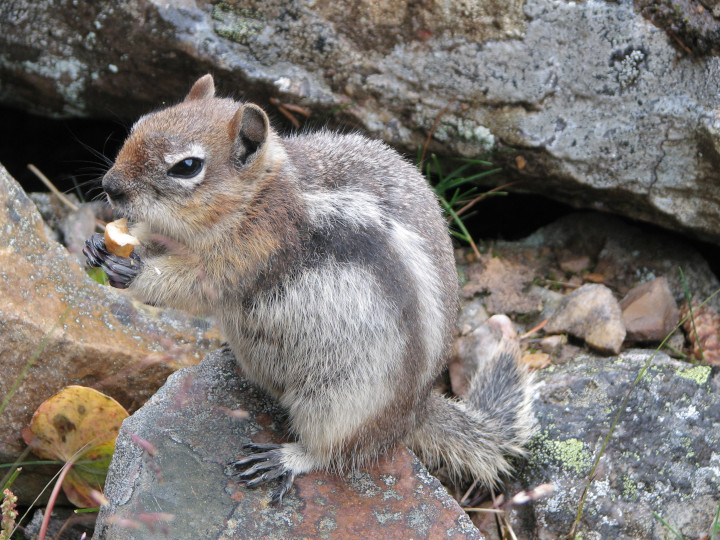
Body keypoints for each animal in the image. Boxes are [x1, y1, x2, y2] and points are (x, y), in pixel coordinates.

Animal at [84, 74, 535, 505]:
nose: (110, 185)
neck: (259, 196)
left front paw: (135, 270)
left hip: (340, 401)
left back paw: (286, 458)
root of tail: (415, 413)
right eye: (140, 124)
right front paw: (97, 246)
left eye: (187, 166)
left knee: (334, 451)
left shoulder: (253, 250)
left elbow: (200, 284)